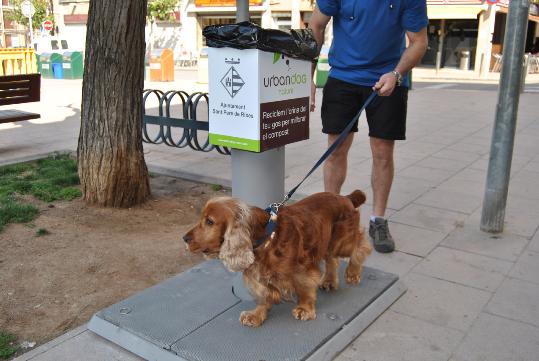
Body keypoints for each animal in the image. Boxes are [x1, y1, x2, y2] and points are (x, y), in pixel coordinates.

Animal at [182, 191, 372, 326]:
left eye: (209, 221)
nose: (184, 238)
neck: (266, 236)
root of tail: (345, 197)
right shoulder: (259, 275)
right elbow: (263, 296)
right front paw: (256, 315)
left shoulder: (302, 269)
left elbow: (305, 289)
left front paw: (304, 309)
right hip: (327, 241)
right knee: (332, 259)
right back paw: (330, 281)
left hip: (342, 241)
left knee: (360, 247)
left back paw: (353, 273)